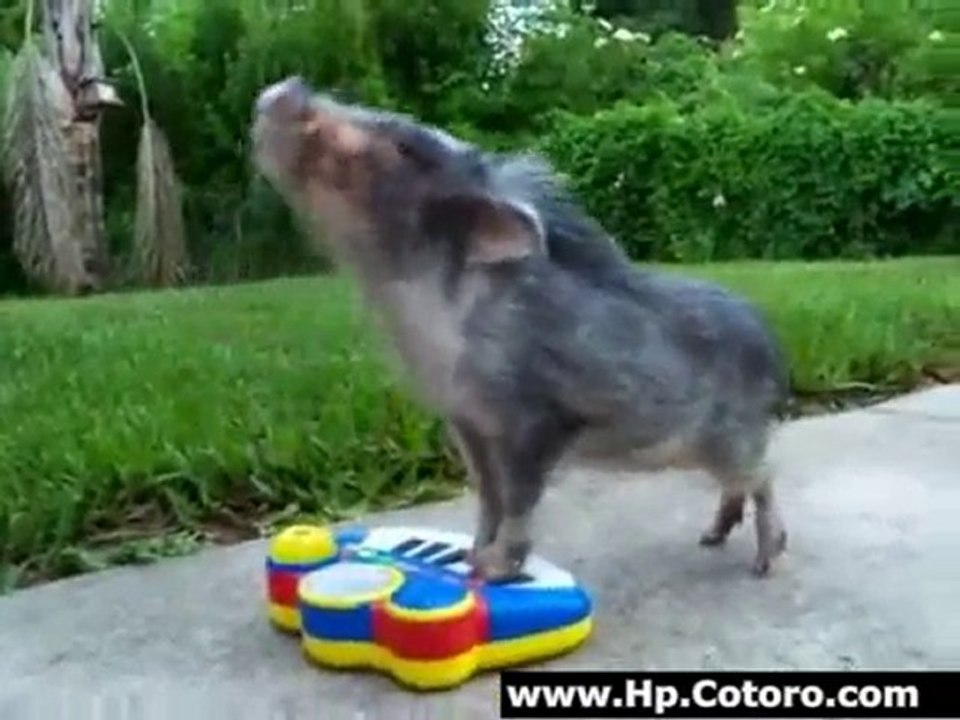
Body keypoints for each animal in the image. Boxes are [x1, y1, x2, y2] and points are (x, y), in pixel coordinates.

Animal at [251, 77, 790, 582]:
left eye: (404, 148)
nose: (287, 87)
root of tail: (772, 342)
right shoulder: (465, 419)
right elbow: (487, 495)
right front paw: (469, 560)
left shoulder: (537, 420)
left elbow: (517, 498)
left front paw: (494, 571)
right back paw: (710, 538)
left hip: (734, 434)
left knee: (764, 474)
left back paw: (763, 563)